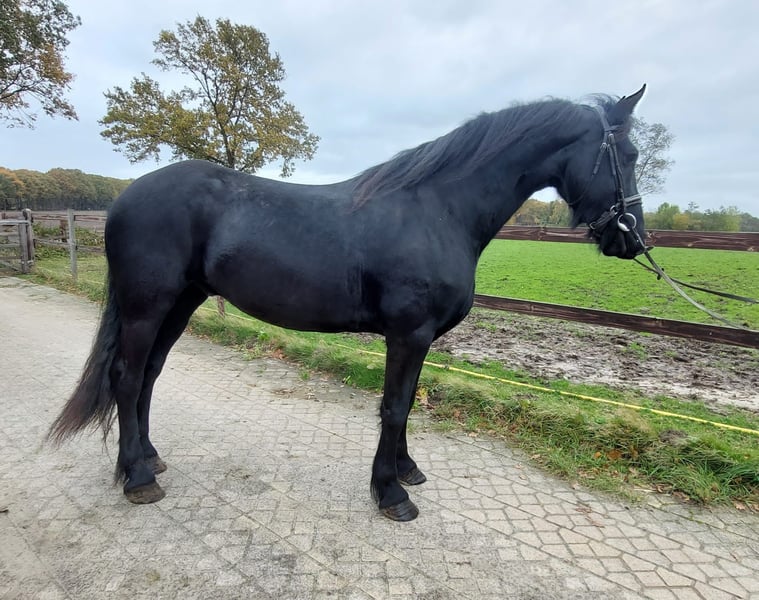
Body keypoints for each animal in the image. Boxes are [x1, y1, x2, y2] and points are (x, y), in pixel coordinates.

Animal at [49, 86, 647, 521]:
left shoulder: (419, 338)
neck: (438, 210)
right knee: (127, 378)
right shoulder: (409, 333)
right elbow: (394, 406)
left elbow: (407, 404)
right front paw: (391, 494)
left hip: (180, 304)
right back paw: (137, 479)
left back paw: (150, 459)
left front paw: (405, 470)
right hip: (147, 307)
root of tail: (124, 198)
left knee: (149, 375)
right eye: (630, 154)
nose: (633, 238)